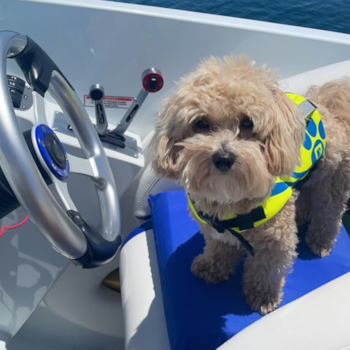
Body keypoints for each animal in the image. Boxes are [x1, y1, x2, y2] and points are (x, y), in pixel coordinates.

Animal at [146, 55, 350, 314]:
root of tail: (327, 106)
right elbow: (218, 246)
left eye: (247, 123)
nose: (223, 158)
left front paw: (263, 296)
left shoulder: (276, 239)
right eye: (201, 123)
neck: (231, 198)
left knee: (329, 212)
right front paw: (213, 266)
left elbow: (265, 269)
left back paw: (320, 241)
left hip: (332, 179)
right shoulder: (213, 228)